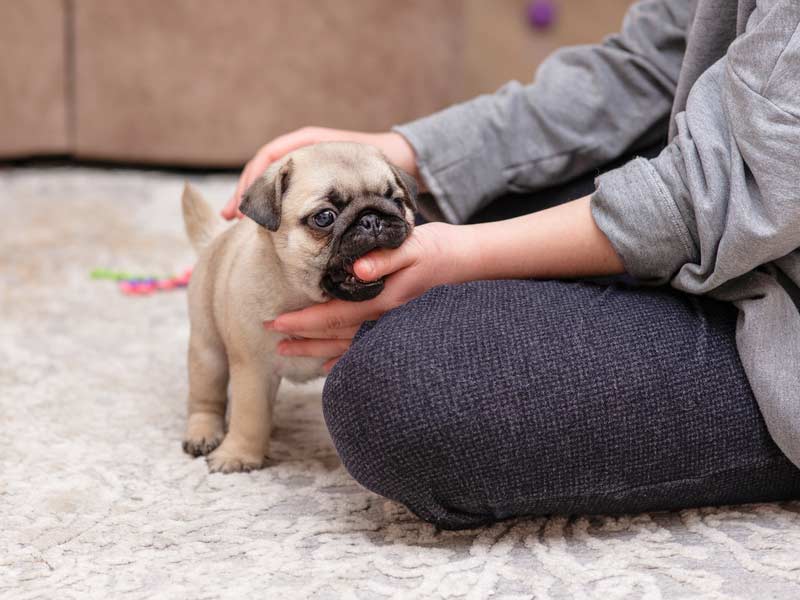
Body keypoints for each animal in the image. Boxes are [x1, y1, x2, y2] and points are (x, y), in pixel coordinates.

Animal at [180, 142, 416, 474]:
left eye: (397, 201)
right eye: (325, 217)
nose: (372, 219)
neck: (301, 295)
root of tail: (215, 238)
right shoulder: (253, 369)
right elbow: (249, 417)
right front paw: (239, 454)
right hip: (207, 348)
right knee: (206, 396)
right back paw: (203, 433)